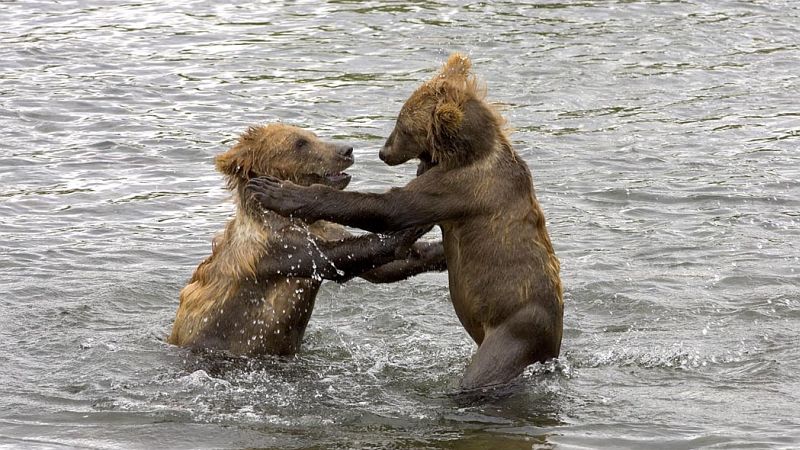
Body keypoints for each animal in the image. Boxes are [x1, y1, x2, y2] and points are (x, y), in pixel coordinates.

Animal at [168, 122, 444, 356]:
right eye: (300, 143)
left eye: (313, 135)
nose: (347, 149)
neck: (293, 220)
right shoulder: (275, 248)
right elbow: (333, 258)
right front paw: (413, 226)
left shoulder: (324, 229)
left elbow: (385, 268)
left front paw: (437, 250)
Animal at [247, 54, 564, 388]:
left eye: (403, 127)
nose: (382, 152)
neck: (465, 153)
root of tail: (552, 350)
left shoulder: (461, 187)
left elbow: (392, 207)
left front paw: (277, 191)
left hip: (515, 330)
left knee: (485, 370)